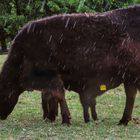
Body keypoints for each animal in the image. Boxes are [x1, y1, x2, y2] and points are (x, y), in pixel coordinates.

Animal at [0, 5, 140, 126]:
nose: (1, 116)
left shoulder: (52, 76)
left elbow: (58, 96)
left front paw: (65, 119)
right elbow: (54, 97)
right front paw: (52, 117)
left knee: (130, 96)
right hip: (129, 78)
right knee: (131, 96)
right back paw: (123, 120)